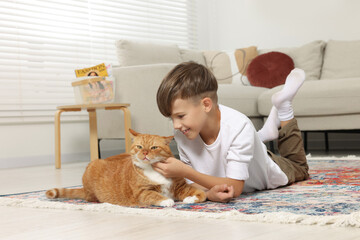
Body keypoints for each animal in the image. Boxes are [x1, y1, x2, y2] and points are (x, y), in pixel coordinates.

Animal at [45, 129, 205, 206]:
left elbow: (201, 194)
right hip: (93, 166)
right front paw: (167, 201)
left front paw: (190, 199)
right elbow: (155, 195)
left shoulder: (181, 186)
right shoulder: (142, 192)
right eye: (139, 146)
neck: (152, 169)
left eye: (154, 147)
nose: (144, 153)